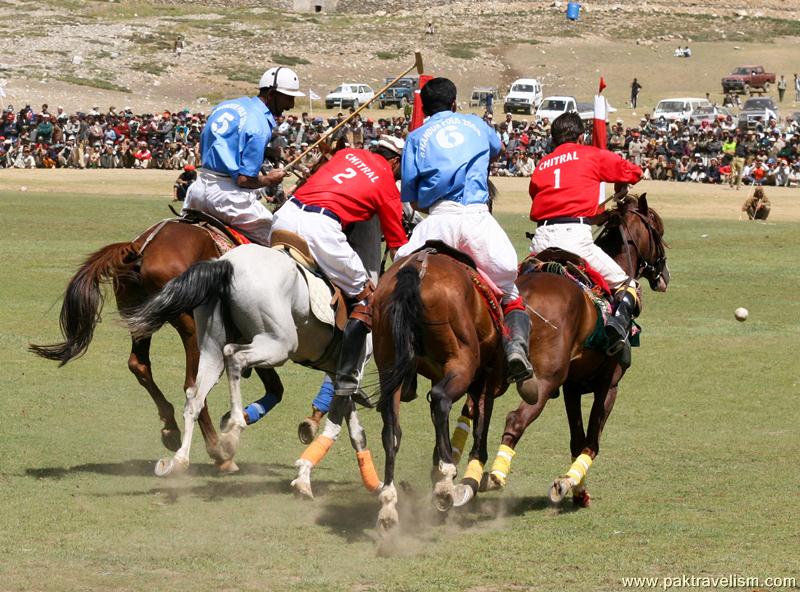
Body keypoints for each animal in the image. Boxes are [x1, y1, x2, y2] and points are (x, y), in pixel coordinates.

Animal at [29, 220, 280, 470]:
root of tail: (140, 249)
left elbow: (275, 387)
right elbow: (275, 387)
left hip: (139, 317)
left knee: (139, 365)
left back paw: (171, 430)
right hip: (192, 326)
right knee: (194, 385)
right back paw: (218, 453)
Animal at [125, 243, 376, 484]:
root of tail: (227, 263)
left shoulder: (338, 374)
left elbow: (357, 432)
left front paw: (373, 483)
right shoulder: (351, 372)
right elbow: (344, 425)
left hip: (211, 348)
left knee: (194, 397)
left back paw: (180, 461)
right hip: (278, 345)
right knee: (234, 356)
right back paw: (234, 425)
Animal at [370, 243, 510, 536]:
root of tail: (417, 272)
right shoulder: (486, 378)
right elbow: (480, 429)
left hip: (389, 367)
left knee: (391, 431)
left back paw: (388, 505)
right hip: (463, 361)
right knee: (441, 400)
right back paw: (446, 481)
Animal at [488, 193, 668, 504]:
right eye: (658, 230)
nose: (664, 274)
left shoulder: (572, 386)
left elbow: (577, 439)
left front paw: (578, 489)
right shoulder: (608, 385)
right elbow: (591, 442)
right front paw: (568, 484)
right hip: (543, 380)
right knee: (515, 420)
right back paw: (494, 477)